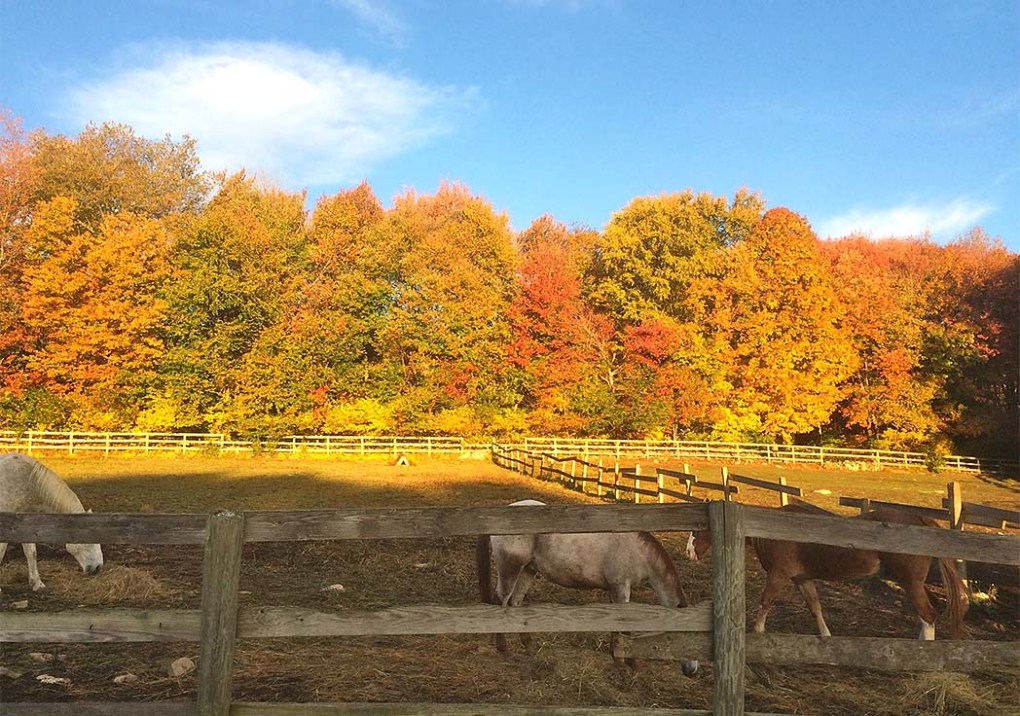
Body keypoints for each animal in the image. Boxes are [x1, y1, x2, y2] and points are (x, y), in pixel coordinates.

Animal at [476, 499, 699, 675]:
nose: (693, 671)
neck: (639, 551)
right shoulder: (621, 587)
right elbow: (623, 627)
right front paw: (627, 663)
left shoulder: (614, 590)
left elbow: (614, 626)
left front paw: (618, 658)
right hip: (510, 570)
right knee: (501, 603)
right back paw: (503, 649)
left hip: (528, 571)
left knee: (515, 604)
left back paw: (529, 646)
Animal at [684, 504, 967, 640]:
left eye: (698, 528)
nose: (688, 553)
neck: (771, 529)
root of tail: (920, 520)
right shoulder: (803, 579)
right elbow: (815, 608)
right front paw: (826, 635)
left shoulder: (778, 575)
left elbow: (765, 602)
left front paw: (758, 631)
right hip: (913, 582)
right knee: (929, 611)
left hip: (910, 581)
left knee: (927, 613)